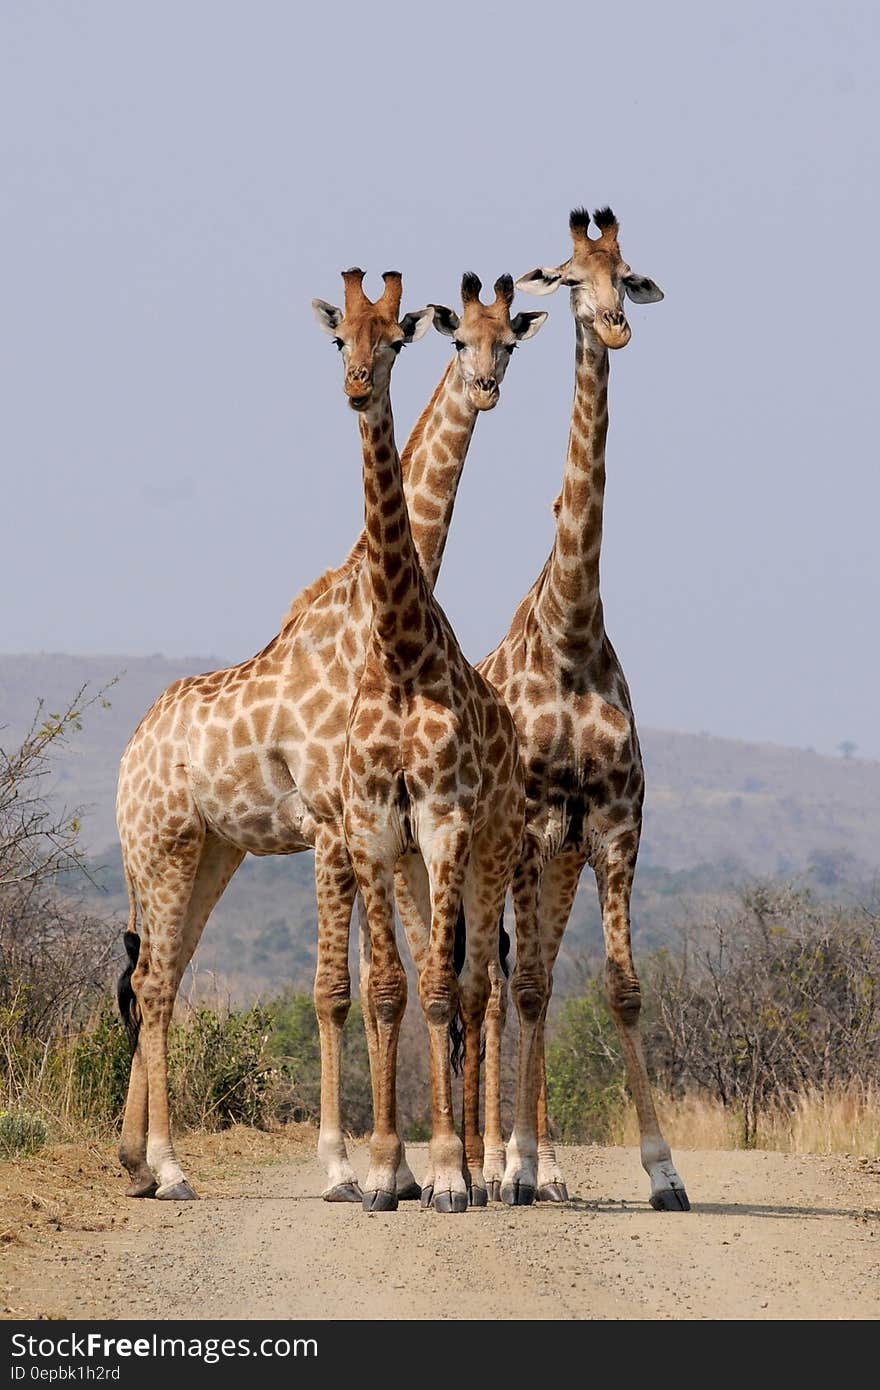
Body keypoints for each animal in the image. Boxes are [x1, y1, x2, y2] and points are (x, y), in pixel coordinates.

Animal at [113, 265, 544, 1200]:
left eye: (509, 342)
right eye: (341, 338)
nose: (485, 389)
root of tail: (128, 755)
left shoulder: (379, 828)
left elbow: (398, 981)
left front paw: (408, 1171)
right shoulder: (332, 823)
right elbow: (336, 990)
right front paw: (348, 1166)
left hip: (211, 851)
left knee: (161, 972)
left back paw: (136, 1159)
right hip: (162, 846)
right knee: (155, 983)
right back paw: (168, 1166)